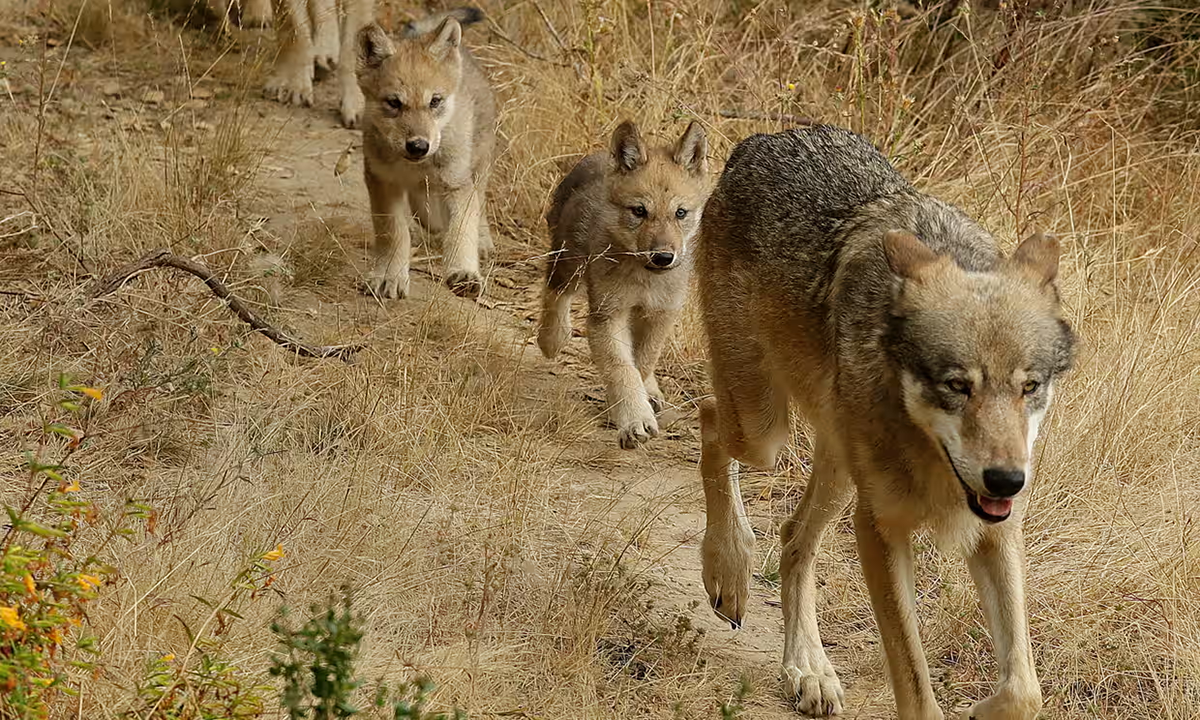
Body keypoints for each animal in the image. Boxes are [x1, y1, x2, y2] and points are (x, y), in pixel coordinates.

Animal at [354, 8, 497, 300]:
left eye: (435, 101)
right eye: (394, 103)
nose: (419, 146)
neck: (416, 168)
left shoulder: (457, 184)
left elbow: (461, 230)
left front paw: (463, 272)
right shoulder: (382, 182)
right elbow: (394, 234)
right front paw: (390, 276)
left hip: (478, 167)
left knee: (479, 203)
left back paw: (484, 241)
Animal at [537, 120, 709, 448]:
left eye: (680, 213)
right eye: (639, 211)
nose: (663, 257)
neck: (645, 280)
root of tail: (596, 155)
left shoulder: (660, 315)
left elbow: (642, 363)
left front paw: (630, 407)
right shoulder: (607, 315)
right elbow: (622, 369)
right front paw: (634, 420)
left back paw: (652, 393)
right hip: (568, 263)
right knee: (554, 294)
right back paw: (552, 339)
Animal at [695, 124, 1074, 719]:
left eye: (1028, 387)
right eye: (957, 386)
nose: (1007, 480)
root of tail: (764, 138)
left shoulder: (997, 528)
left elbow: (1024, 690)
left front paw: (983, 710)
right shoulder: (879, 528)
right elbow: (916, 686)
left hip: (834, 467)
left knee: (793, 536)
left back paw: (809, 669)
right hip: (764, 432)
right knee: (710, 420)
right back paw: (728, 570)